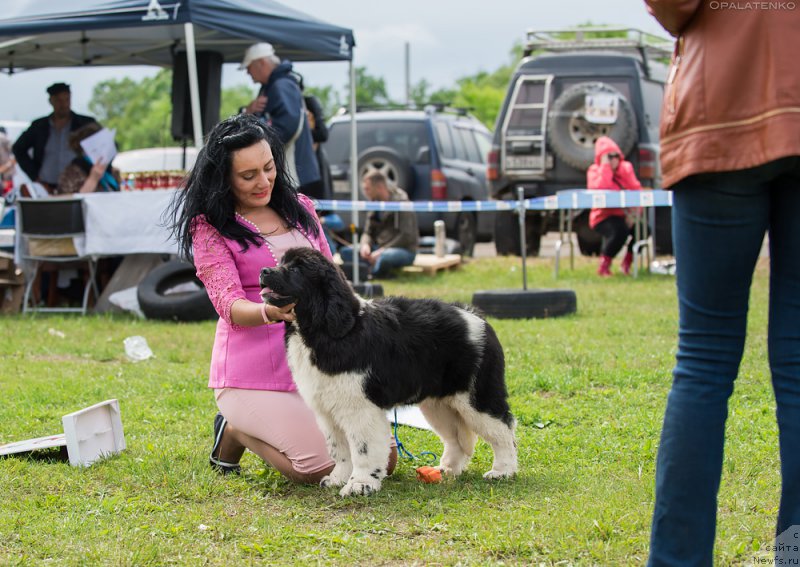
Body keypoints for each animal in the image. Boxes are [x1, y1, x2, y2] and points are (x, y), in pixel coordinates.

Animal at [260, 248, 516, 496]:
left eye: (296, 269)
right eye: (280, 262)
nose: (264, 271)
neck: (323, 329)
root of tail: (476, 317)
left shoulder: (360, 408)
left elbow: (363, 449)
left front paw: (360, 484)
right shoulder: (328, 410)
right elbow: (339, 450)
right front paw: (337, 478)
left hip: (476, 397)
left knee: (504, 430)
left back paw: (503, 471)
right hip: (440, 403)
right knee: (456, 438)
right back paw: (447, 469)